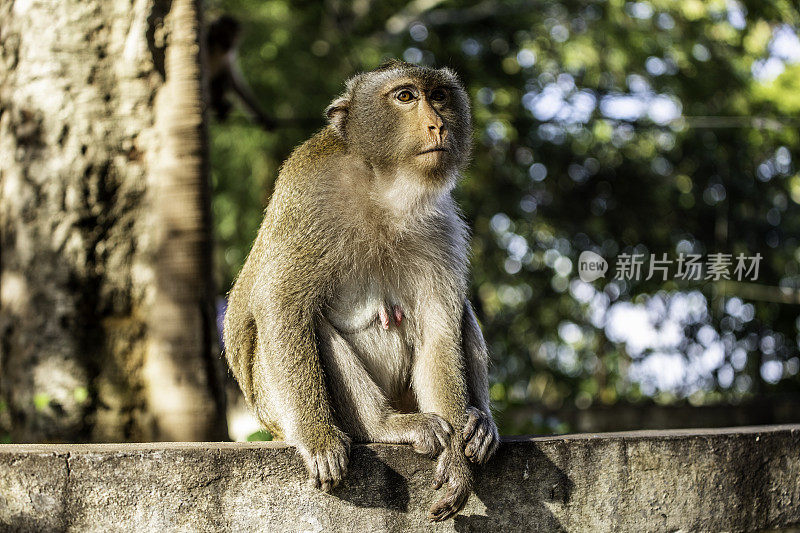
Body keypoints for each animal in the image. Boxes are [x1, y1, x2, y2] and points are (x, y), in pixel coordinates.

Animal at [225, 59, 496, 520]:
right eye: (405, 96)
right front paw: (318, 437)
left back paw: (477, 423)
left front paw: (457, 467)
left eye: (439, 96)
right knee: (312, 324)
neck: (383, 186)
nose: (438, 124)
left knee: (460, 312)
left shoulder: (441, 226)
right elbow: (282, 305)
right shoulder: (311, 195)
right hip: (276, 407)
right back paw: (383, 426)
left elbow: (440, 333)